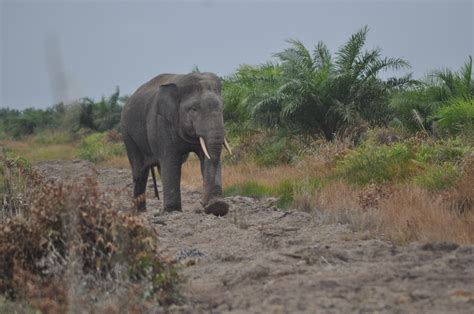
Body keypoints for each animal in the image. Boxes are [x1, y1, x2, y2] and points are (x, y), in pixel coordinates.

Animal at [120, 72, 231, 217]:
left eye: (222, 108)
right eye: (194, 109)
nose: (202, 203)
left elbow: (206, 156)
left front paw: (218, 206)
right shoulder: (161, 122)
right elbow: (170, 160)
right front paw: (172, 210)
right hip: (127, 134)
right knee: (140, 171)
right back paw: (141, 212)